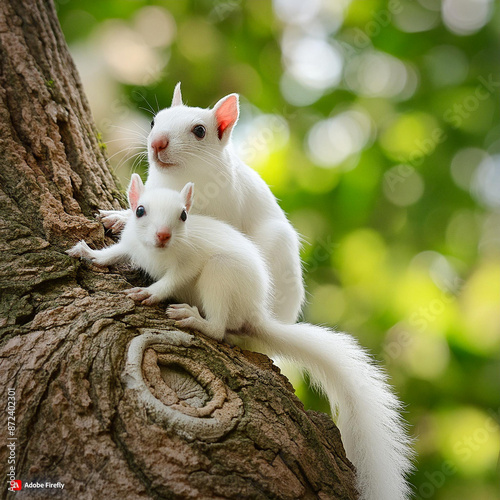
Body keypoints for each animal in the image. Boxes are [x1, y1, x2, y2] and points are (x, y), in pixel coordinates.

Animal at [69, 175, 414, 500]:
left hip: (220, 274)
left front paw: (149, 293)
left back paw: (195, 320)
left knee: (219, 327)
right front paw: (88, 253)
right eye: (139, 211)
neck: (156, 251)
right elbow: (115, 252)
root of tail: (254, 313)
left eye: (183, 215)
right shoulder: (131, 243)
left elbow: (171, 282)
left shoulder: (187, 263)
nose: (163, 236)